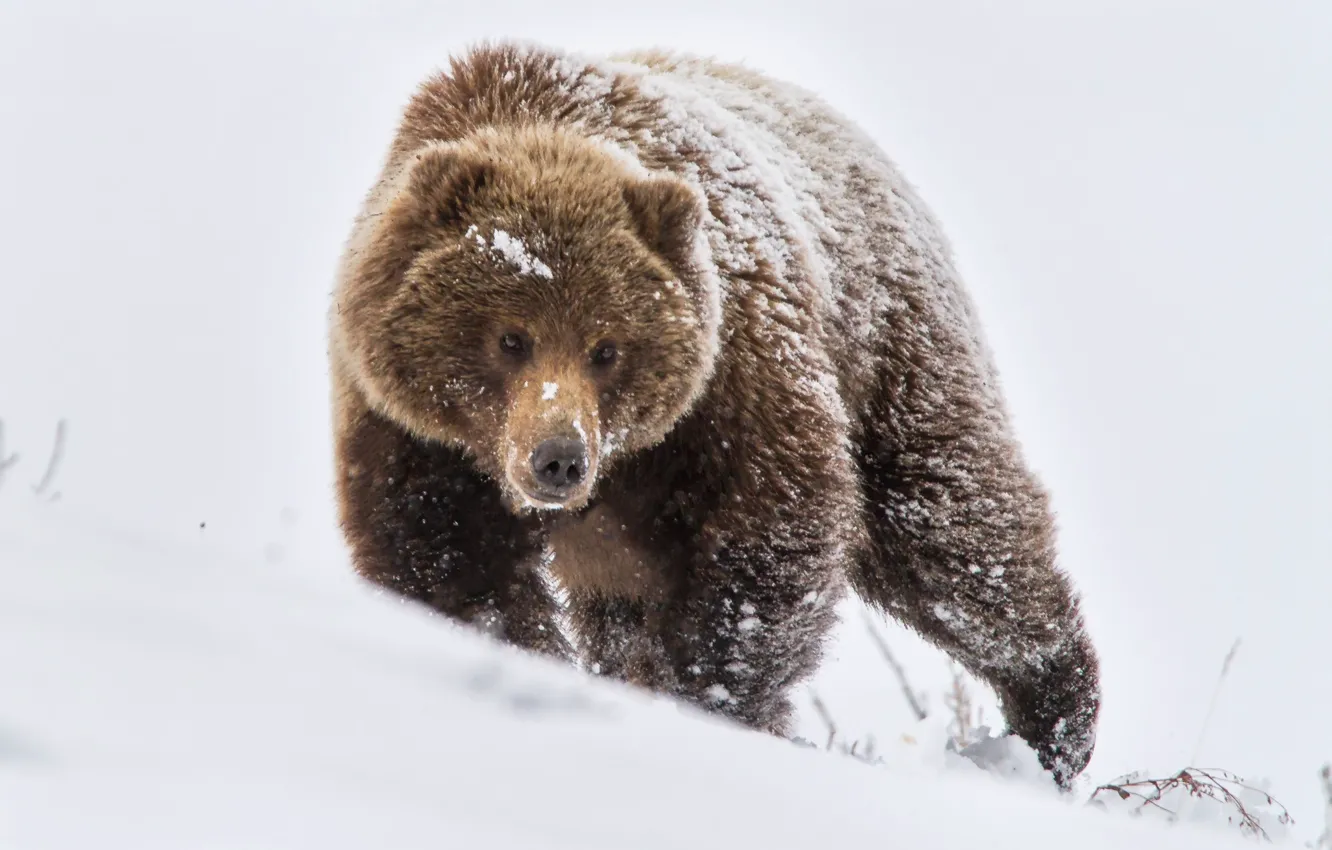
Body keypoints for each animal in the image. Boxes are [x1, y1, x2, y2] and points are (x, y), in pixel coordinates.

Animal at [327, 39, 1097, 788]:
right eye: (510, 338)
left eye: (607, 347)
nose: (559, 459)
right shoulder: (414, 433)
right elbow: (450, 567)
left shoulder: (732, 378)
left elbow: (768, 536)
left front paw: (706, 699)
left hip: (891, 350)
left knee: (952, 533)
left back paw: (1057, 717)